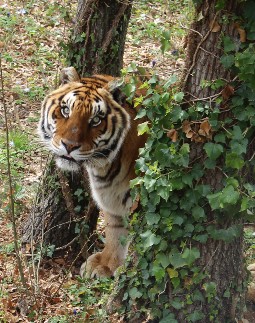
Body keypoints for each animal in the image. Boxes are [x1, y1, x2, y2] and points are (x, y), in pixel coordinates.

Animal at [39, 66, 147, 278]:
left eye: (96, 120)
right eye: (66, 110)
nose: (69, 145)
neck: (106, 167)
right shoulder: (112, 200)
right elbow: (115, 231)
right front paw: (106, 265)